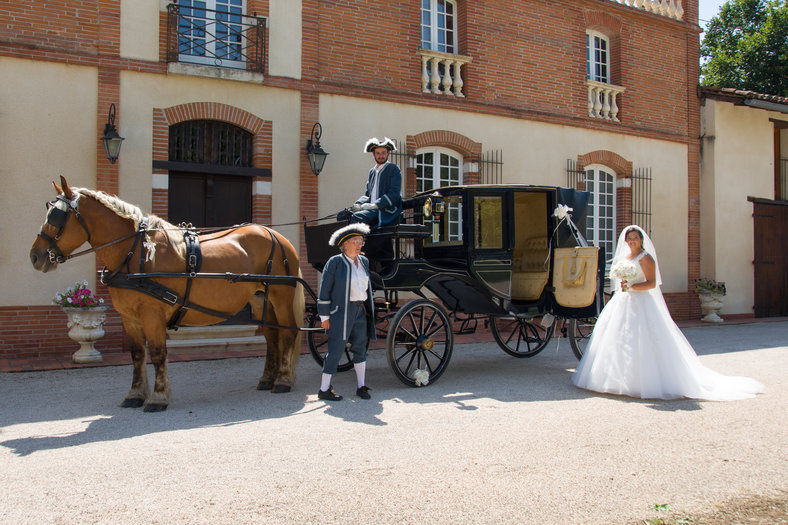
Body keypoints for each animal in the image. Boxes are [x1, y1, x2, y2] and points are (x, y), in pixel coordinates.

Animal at [29, 175, 304, 410]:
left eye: (56, 216)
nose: (35, 256)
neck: (134, 252)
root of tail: (277, 236)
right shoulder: (129, 317)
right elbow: (137, 354)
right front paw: (135, 394)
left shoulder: (153, 314)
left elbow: (158, 353)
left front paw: (158, 397)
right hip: (260, 299)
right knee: (272, 336)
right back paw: (268, 378)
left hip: (280, 297)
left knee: (289, 333)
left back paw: (283, 380)